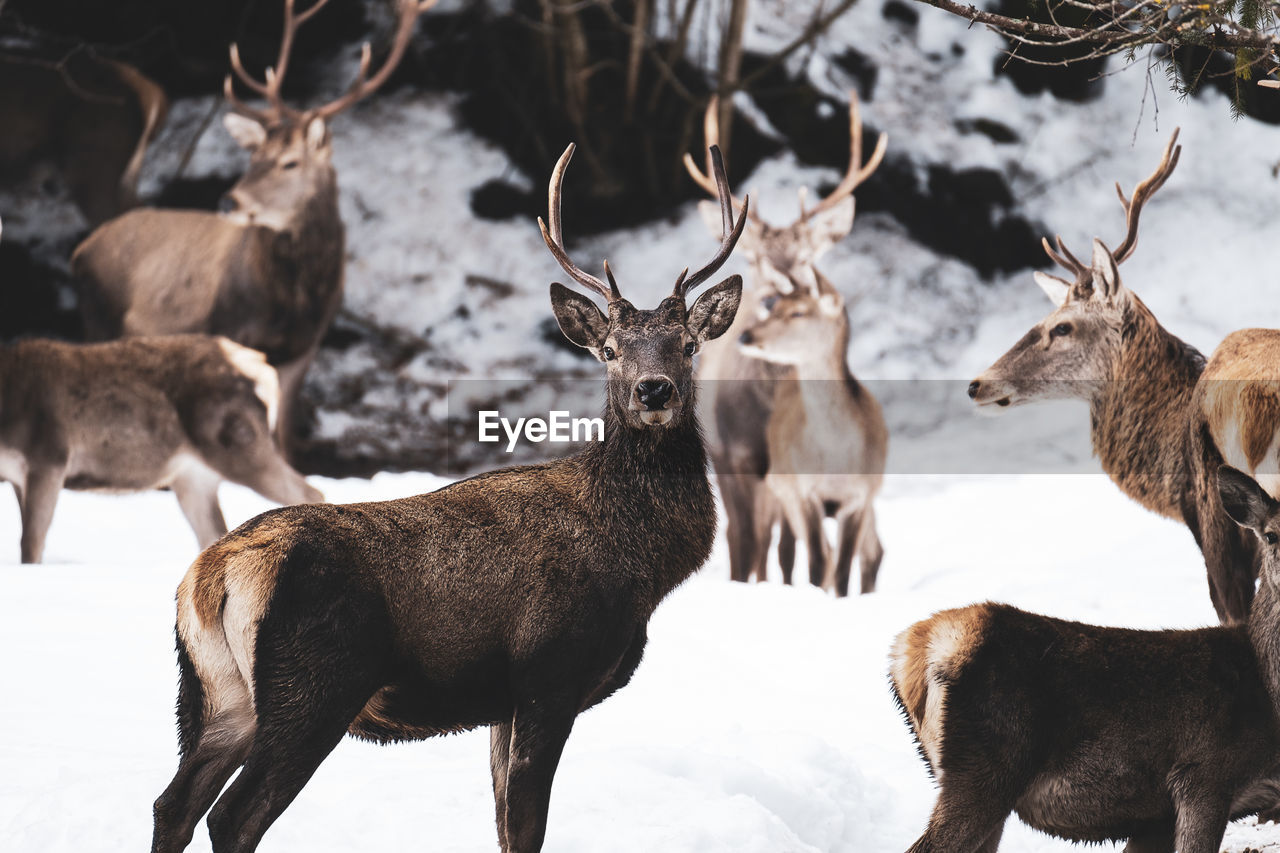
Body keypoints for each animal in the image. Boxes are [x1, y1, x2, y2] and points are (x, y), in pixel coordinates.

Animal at [0, 333, 325, 563]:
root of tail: (262, 369)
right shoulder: (16, 476)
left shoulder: (49, 457)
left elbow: (30, 543)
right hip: (193, 477)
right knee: (213, 531)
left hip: (238, 444)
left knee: (310, 492)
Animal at [70, 0, 435, 450]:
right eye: (253, 157)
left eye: (290, 162)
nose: (229, 201)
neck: (294, 303)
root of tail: (81, 250)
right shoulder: (230, 332)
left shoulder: (304, 350)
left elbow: (285, 437)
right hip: (100, 317)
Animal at [686, 89, 885, 589]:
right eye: (754, 258)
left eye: (807, 255)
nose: (779, 291)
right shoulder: (733, 457)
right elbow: (744, 543)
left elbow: (792, 550)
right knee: (753, 538)